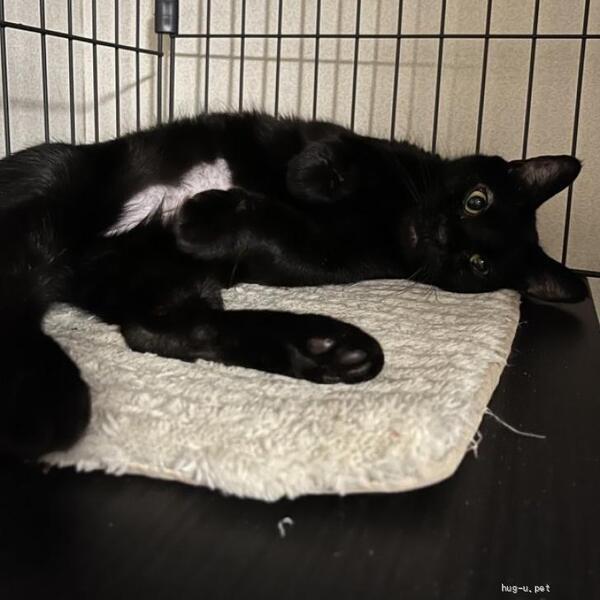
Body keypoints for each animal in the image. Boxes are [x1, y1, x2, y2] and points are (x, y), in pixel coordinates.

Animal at [0, 111, 586, 459]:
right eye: (476, 200)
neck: (391, 216)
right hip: (59, 177)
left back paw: (329, 350)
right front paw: (312, 173)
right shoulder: (363, 147)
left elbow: (281, 236)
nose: (443, 235)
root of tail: (72, 261)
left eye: (478, 264)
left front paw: (206, 219)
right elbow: (339, 151)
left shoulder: (329, 257)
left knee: (158, 328)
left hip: (150, 272)